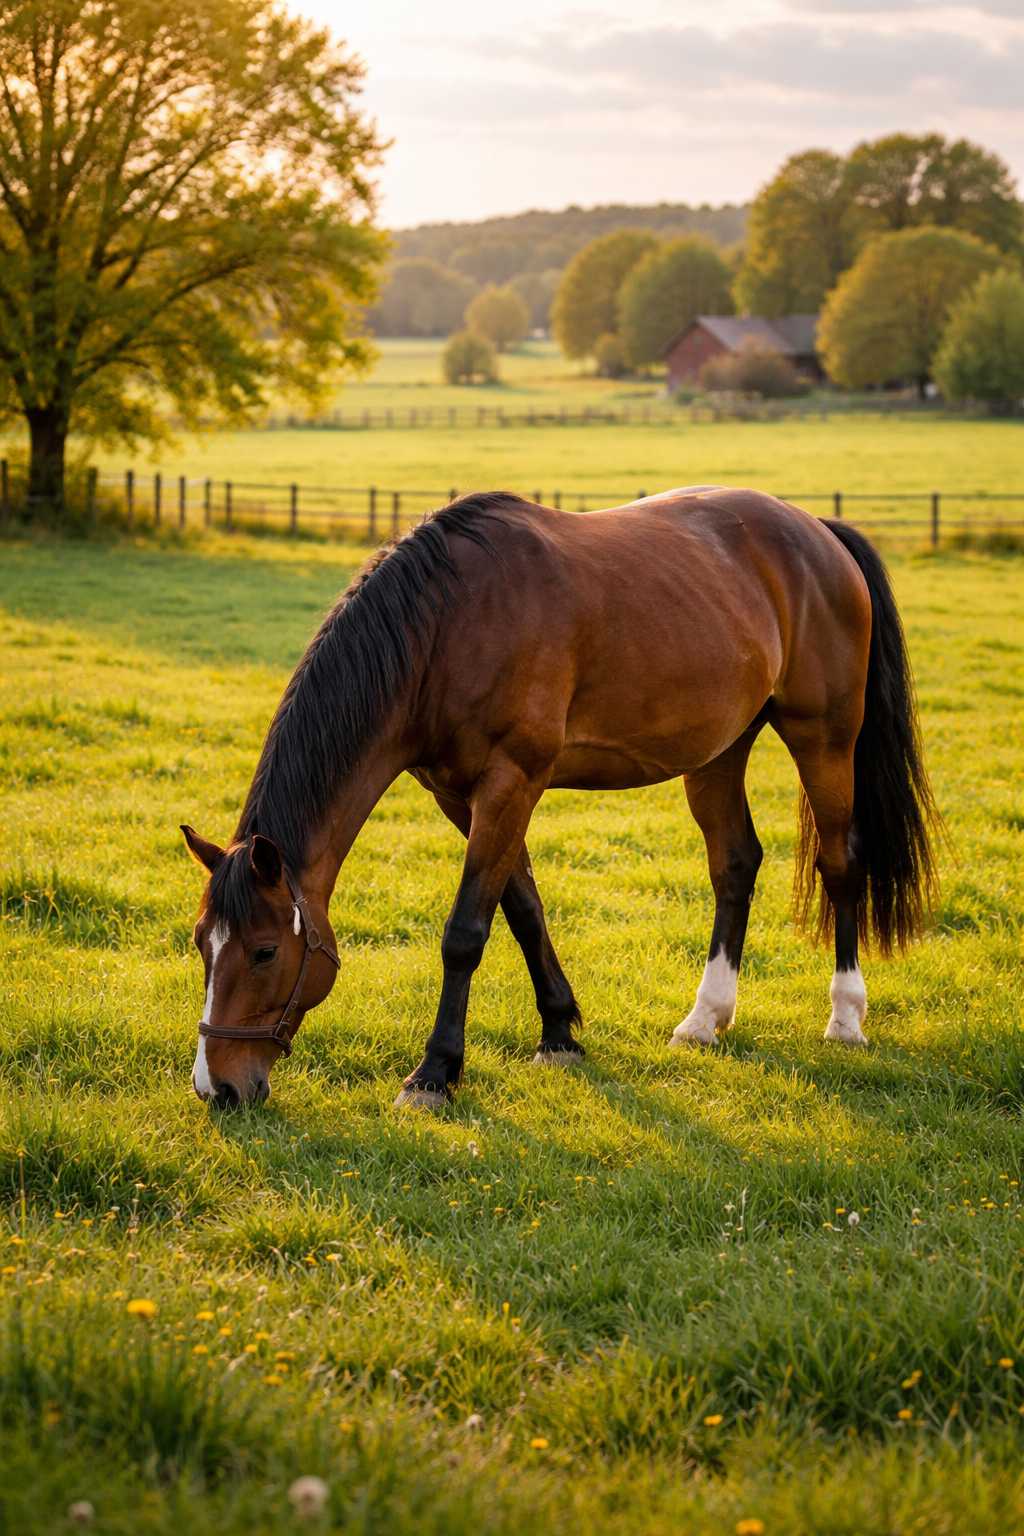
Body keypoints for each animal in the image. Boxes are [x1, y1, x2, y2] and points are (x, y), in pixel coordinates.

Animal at [182, 486, 936, 1110]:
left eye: (265, 952)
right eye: (201, 945)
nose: (218, 1087)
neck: (446, 625)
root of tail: (819, 532)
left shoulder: (511, 781)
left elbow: (466, 932)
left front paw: (435, 1073)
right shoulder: (461, 796)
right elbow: (522, 910)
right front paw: (560, 1033)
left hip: (824, 738)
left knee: (839, 864)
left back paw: (845, 1017)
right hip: (720, 751)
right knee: (734, 865)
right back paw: (705, 1019)